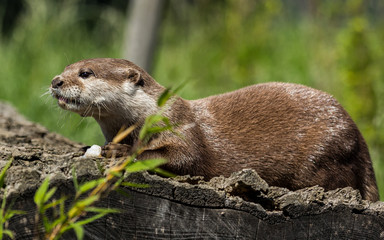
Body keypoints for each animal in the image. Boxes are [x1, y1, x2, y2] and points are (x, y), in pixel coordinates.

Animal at [49, 57, 380, 201]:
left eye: (85, 73)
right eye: (66, 67)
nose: (56, 81)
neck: (151, 115)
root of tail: (360, 139)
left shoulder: (182, 127)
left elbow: (184, 158)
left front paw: (120, 151)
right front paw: (88, 147)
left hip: (327, 152)